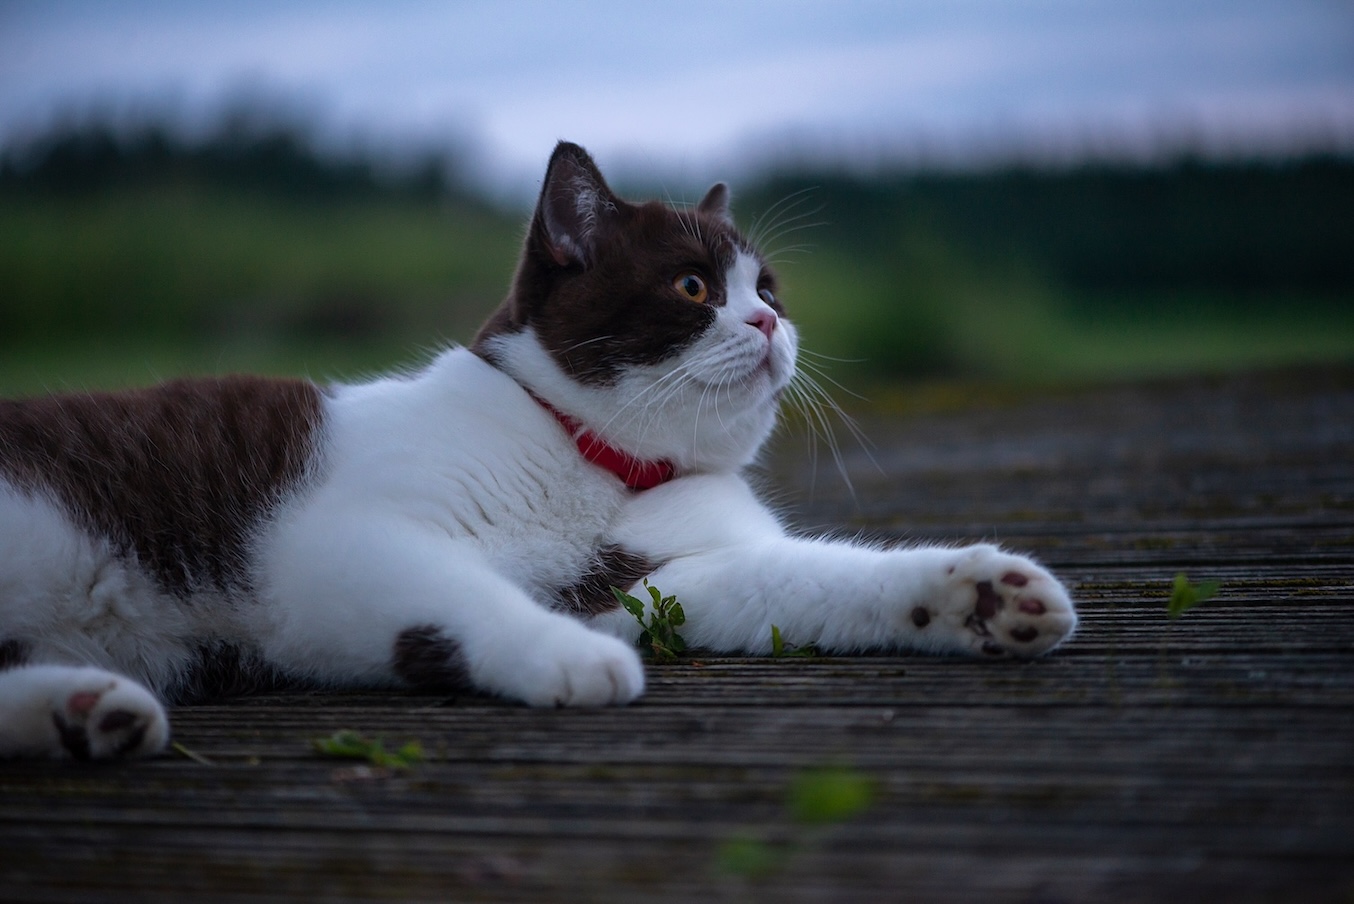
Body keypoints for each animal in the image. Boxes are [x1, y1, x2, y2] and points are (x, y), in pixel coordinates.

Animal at [0, 141, 1077, 757]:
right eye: (693, 288)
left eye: (768, 288)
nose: (770, 323)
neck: (601, 464)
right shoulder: (337, 542)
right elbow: (466, 590)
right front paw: (571, 654)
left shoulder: (676, 571)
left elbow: (809, 582)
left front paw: (978, 596)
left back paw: (86, 711)